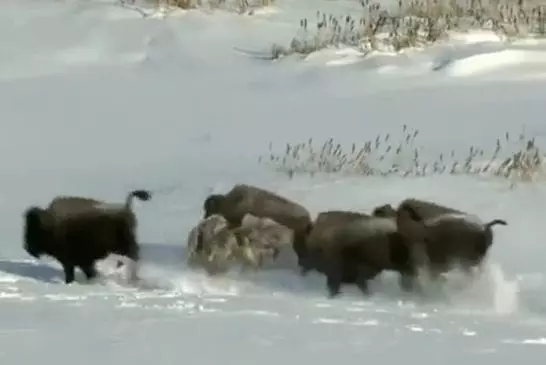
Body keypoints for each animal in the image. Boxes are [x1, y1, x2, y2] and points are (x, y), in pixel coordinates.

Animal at [22, 189, 151, 282]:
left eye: (33, 230)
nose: (27, 248)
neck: (49, 224)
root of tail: (126, 208)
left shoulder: (72, 261)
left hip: (124, 247)